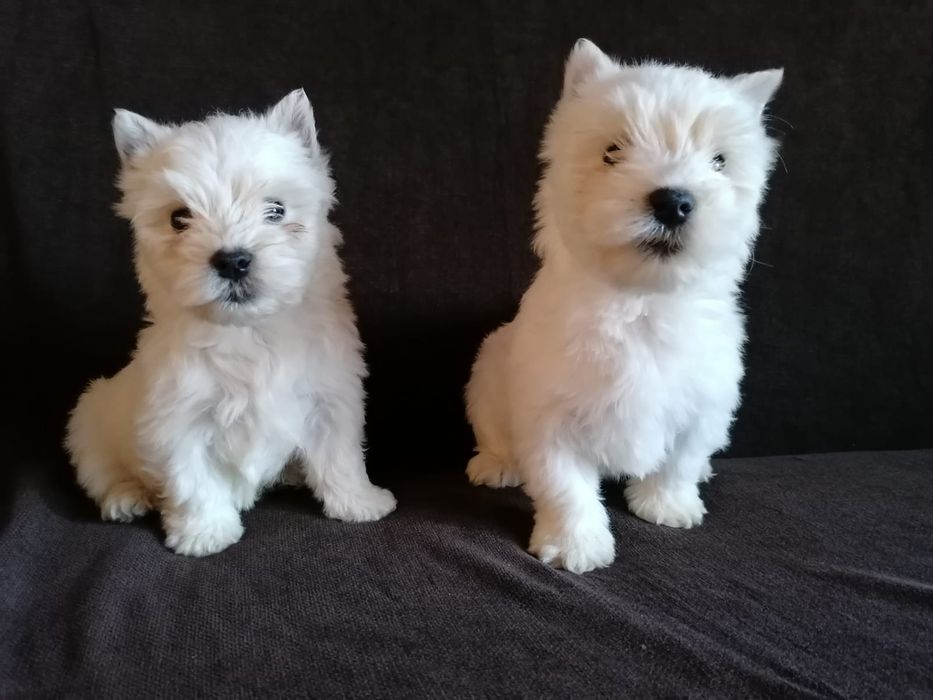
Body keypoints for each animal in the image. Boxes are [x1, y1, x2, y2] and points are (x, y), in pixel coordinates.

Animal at [64, 90, 394, 556]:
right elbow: (193, 479)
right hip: (90, 418)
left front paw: (359, 502)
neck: (251, 332)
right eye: (179, 218)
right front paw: (205, 533)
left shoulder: (330, 398)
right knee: (102, 471)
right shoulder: (178, 416)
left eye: (276, 210)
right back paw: (126, 498)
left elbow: (340, 456)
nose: (233, 261)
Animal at [466, 39, 780, 576]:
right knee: (493, 430)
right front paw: (575, 544)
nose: (674, 202)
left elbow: (680, 459)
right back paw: (497, 463)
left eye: (719, 160)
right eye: (612, 152)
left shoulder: (705, 401)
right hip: (488, 374)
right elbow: (564, 484)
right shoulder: (550, 411)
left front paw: (667, 505)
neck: (641, 303)